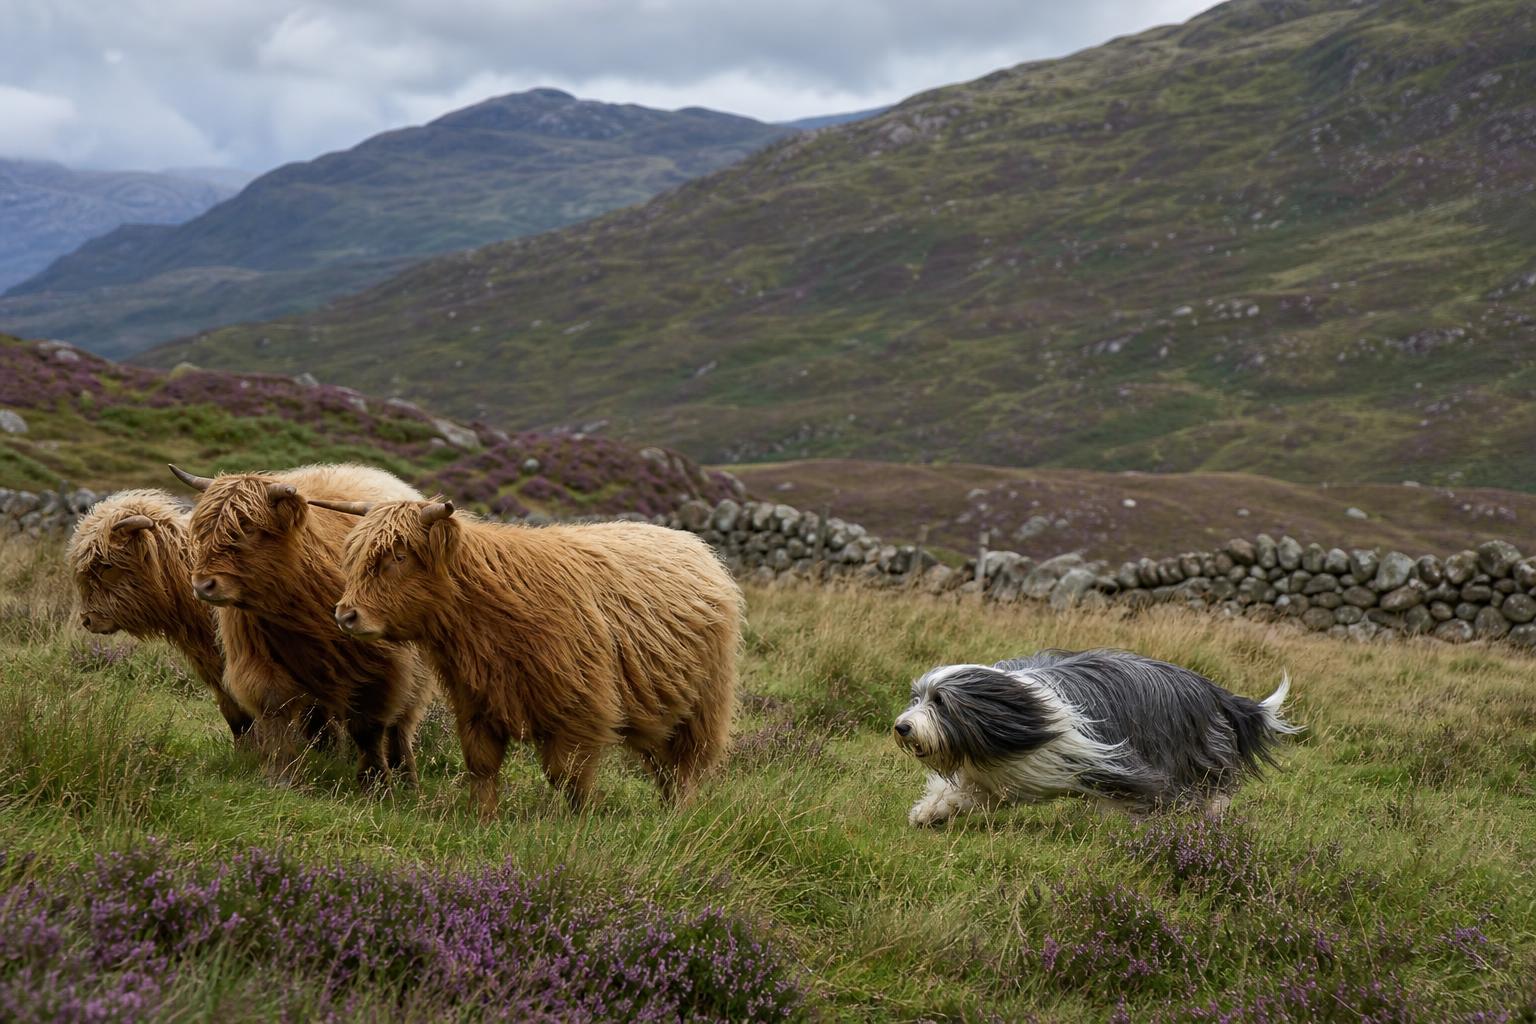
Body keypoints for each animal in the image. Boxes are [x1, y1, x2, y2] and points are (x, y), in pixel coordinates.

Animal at [170, 463, 435, 787]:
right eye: (204, 529)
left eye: (249, 529)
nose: (203, 585)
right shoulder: (259, 656)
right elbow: (274, 708)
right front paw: (280, 773)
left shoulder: (382, 666)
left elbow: (368, 726)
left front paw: (374, 781)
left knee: (402, 724)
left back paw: (406, 775)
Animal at [312, 496, 741, 819]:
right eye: (354, 556)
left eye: (399, 557)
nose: (346, 615)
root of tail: (695, 545)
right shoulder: (475, 704)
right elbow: (482, 767)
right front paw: (483, 818)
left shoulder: (581, 709)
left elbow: (568, 775)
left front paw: (581, 822)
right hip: (658, 703)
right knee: (664, 765)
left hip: (702, 706)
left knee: (685, 767)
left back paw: (678, 816)